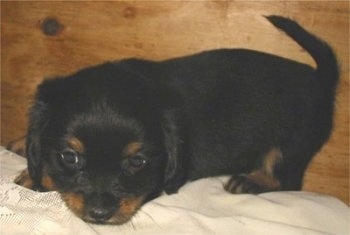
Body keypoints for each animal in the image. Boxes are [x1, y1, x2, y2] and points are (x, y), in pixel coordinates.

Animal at [15, 15, 338, 225]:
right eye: (69, 157)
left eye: (138, 162)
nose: (100, 214)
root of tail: (319, 79)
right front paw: (23, 149)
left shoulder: (155, 182)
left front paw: (34, 176)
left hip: (291, 145)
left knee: (287, 179)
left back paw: (250, 181)